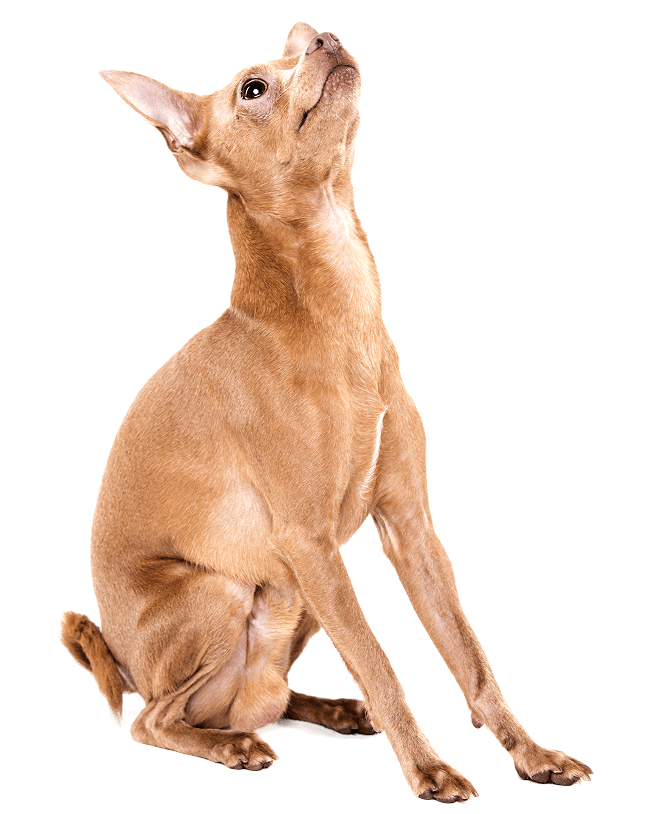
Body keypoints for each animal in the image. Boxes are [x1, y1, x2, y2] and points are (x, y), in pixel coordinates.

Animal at [59, 22, 593, 802]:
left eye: (301, 42)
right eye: (253, 87)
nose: (324, 37)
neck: (337, 316)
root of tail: (125, 661)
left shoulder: (410, 530)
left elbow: (470, 658)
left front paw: (532, 753)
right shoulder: (310, 541)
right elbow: (379, 662)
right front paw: (429, 770)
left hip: (299, 595)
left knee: (253, 702)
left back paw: (332, 711)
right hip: (228, 588)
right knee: (156, 719)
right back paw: (235, 746)